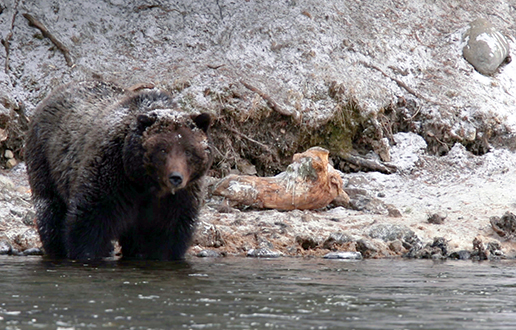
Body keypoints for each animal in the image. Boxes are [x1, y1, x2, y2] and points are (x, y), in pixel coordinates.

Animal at [24, 80, 212, 260]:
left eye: (188, 151)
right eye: (162, 150)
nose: (175, 177)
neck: (146, 183)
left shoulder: (178, 198)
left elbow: (167, 236)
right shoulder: (112, 175)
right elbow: (89, 223)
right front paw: (86, 253)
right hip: (45, 160)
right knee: (50, 208)